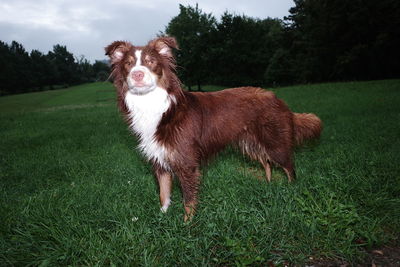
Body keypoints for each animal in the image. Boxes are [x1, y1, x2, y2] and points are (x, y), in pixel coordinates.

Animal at [105, 37, 322, 222]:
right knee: (266, 162)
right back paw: (268, 186)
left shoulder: (187, 163)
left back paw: (291, 190)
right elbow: (163, 194)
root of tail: (279, 100)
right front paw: (163, 217)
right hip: (252, 143)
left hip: (275, 143)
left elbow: (188, 199)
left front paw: (187, 225)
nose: (137, 74)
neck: (159, 107)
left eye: (151, 62)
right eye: (128, 64)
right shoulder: (160, 160)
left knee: (289, 167)